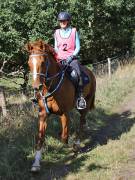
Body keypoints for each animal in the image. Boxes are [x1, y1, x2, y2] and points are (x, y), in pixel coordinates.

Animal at [25, 39, 96, 172]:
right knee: (82, 122)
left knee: (81, 122)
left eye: (43, 62)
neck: (51, 87)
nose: (37, 87)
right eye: (29, 63)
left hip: (85, 104)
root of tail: (90, 73)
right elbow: (40, 138)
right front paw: (36, 164)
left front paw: (68, 146)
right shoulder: (43, 114)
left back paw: (76, 145)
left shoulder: (64, 113)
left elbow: (63, 136)